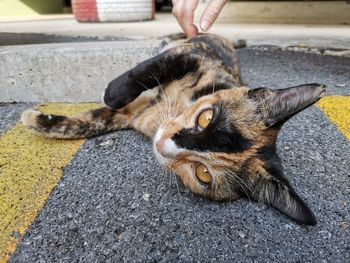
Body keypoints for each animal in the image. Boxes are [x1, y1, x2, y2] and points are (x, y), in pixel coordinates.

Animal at [21, 34, 326, 226]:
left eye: (203, 173)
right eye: (206, 117)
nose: (163, 143)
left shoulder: (132, 116)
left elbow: (90, 122)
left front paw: (39, 120)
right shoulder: (193, 56)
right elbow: (147, 69)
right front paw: (111, 92)